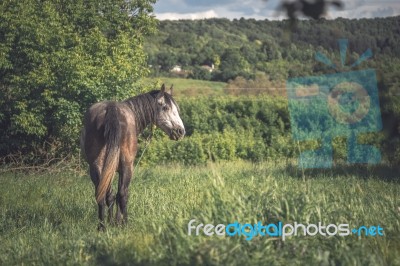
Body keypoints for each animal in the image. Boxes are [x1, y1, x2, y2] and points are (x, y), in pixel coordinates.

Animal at [80, 84, 186, 230]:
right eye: (165, 107)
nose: (180, 131)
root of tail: (111, 109)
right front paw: (117, 221)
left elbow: (110, 195)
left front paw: (112, 221)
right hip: (127, 166)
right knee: (123, 194)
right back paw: (125, 224)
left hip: (97, 166)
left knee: (102, 196)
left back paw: (102, 227)